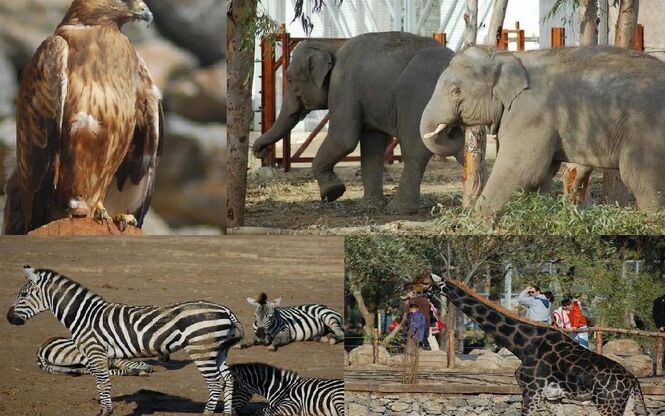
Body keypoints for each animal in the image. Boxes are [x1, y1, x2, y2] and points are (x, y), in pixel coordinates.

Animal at [5, 266, 244, 416]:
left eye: (23, 295)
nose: (8, 318)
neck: (84, 316)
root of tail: (226, 310)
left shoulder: (96, 352)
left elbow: (103, 382)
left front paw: (105, 411)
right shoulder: (99, 356)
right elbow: (101, 382)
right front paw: (105, 408)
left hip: (202, 350)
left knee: (216, 383)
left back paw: (207, 413)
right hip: (218, 351)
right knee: (229, 379)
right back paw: (228, 413)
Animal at [252, 32, 464, 213]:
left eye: (288, 78)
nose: (258, 150)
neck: (330, 44)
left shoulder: (343, 85)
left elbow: (343, 139)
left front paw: (333, 192)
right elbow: (371, 145)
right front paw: (368, 207)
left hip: (417, 99)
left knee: (415, 149)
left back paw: (399, 209)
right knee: (460, 147)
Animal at [422, 46, 664, 218]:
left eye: (456, 91)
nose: (452, 128)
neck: (508, 55)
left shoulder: (530, 115)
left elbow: (521, 169)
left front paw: (473, 225)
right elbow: (543, 173)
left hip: (646, 131)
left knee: (642, 181)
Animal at [428, 272, 644, 416]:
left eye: (427, 283)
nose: (418, 291)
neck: (523, 345)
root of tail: (633, 381)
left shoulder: (532, 390)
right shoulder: (553, 398)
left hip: (608, 404)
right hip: (626, 404)